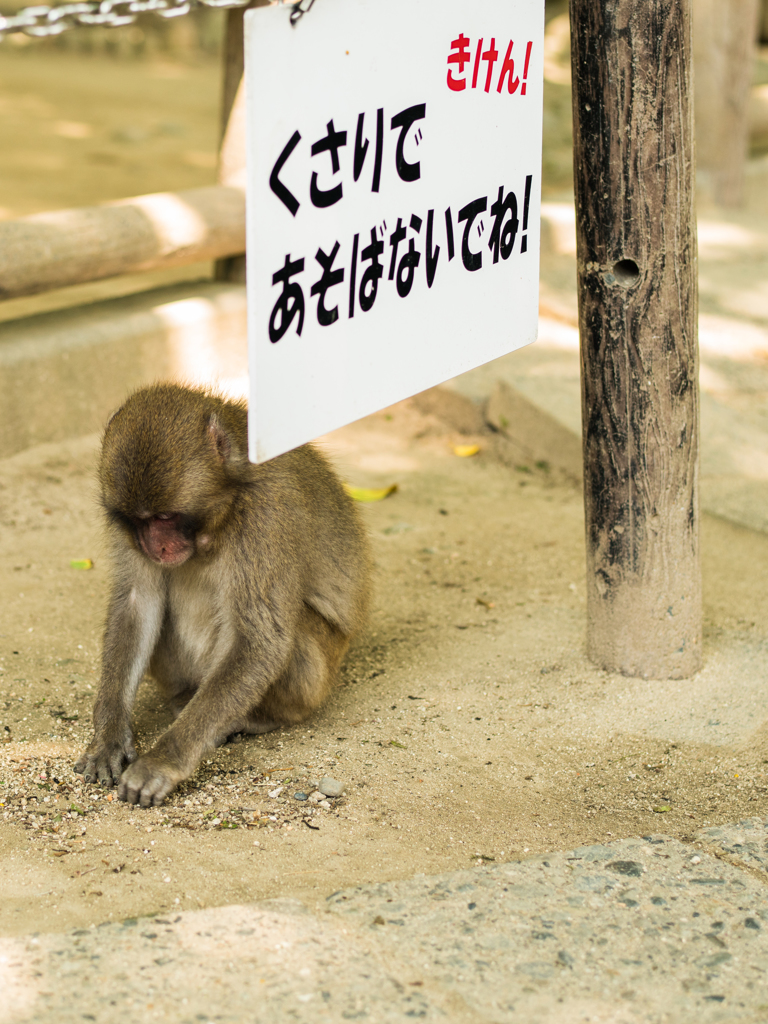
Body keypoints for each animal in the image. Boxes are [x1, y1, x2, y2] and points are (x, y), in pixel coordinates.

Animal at [75, 385, 372, 806]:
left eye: (165, 517)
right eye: (138, 521)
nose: (155, 547)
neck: (226, 507)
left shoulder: (267, 516)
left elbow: (259, 640)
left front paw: (163, 761)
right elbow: (135, 603)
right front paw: (109, 737)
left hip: (317, 682)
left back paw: (258, 719)